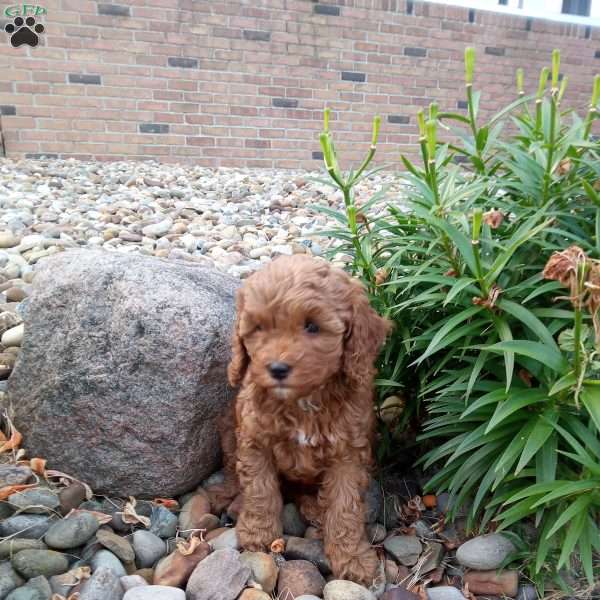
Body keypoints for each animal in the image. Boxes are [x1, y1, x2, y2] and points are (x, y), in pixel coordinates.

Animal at [209, 254, 392, 584]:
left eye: (312, 326)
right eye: (259, 328)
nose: (277, 368)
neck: (303, 401)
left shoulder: (348, 453)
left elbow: (345, 506)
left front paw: (353, 558)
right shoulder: (254, 440)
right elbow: (260, 489)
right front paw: (258, 533)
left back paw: (315, 509)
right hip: (229, 428)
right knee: (232, 470)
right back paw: (229, 496)